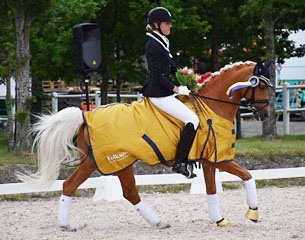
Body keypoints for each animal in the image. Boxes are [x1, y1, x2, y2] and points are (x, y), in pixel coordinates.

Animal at [17, 60, 272, 231]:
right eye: (260, 86)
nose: (265, 114)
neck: (212, 107)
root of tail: (84, 115)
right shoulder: (218, 159)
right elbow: (247, 176)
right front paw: (252, 213)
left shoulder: (210, 160)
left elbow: (213, 189)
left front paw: (220, 219)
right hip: (113, 161)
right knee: (104, 189)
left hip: (101, 162)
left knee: (90, 187)